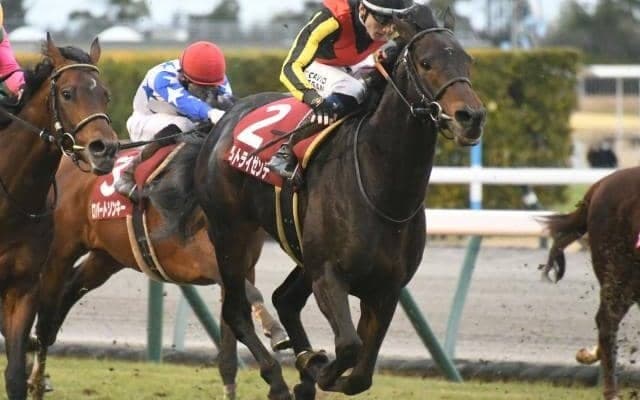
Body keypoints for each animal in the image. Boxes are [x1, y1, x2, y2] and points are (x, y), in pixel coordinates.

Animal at [29, 132, 290, 400]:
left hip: (107, 257)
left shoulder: (242, 268)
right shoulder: (206, 259)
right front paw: (275, 333)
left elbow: (230, 344)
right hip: (62, 249)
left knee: (69, 290)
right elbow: (251, 297)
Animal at [163, 5, 485, 400]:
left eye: (468, 60)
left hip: (299, 249)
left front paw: (314, 367)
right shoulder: (329, 275)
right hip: (231, 234)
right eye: (426, 62)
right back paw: (278, 379)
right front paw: (315, 368)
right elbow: (348, 347)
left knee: (284, 299)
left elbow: (361, 374)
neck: (384, 190)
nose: (471, 118)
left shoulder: (387, 288)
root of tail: (222, 121)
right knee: (237, 311)